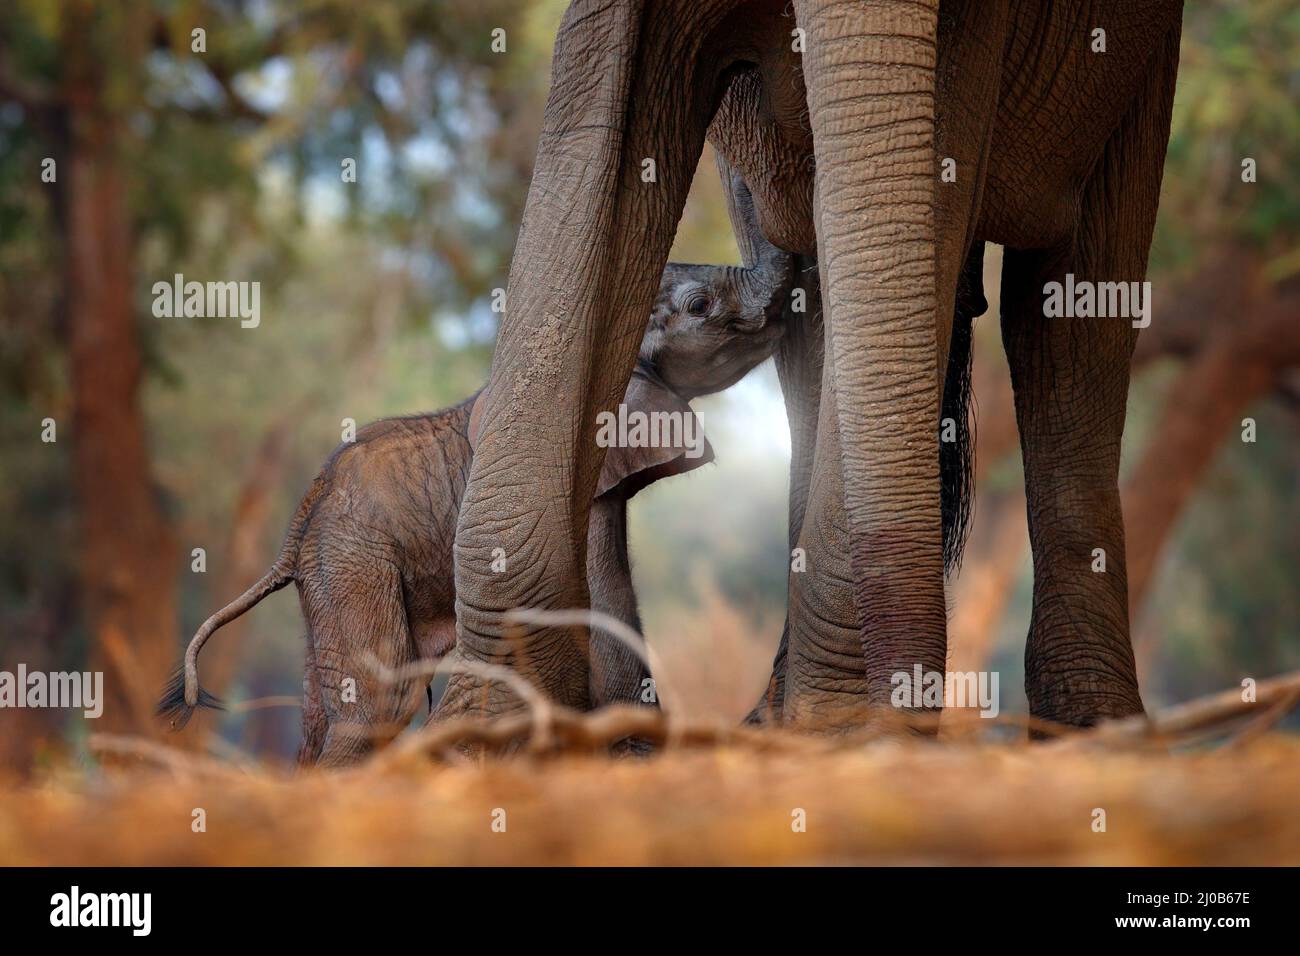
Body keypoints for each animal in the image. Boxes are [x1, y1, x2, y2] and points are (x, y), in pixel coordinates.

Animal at [157, 185, 793, 765]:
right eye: (699, 305)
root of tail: (296, 529)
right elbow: (609, 606)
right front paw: (635, 755)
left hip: (328, 571)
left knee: (327, 707)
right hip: (353, 558)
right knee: (380, 703)